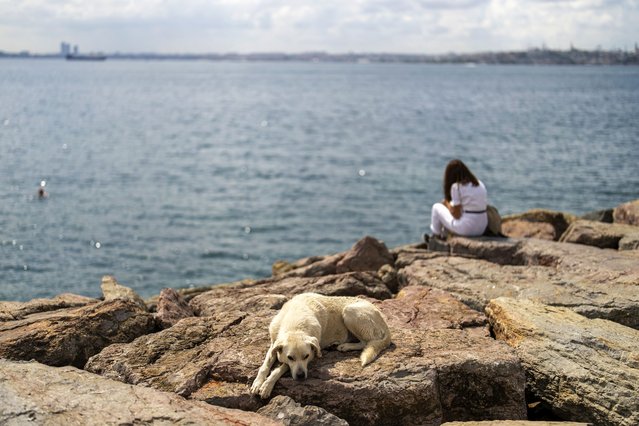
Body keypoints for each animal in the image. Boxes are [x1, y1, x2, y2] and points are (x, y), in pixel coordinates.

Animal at [249, 292, 390, 398]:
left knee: (366, 342)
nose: (301, 376)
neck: (295, 324)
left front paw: (267, 385)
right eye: (290, 357)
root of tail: (385, 323)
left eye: (306, 356)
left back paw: (345, 346)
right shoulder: (274, 344)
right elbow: (265, 366)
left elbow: (281, 368)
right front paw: (258, 383)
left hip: (350, 312)